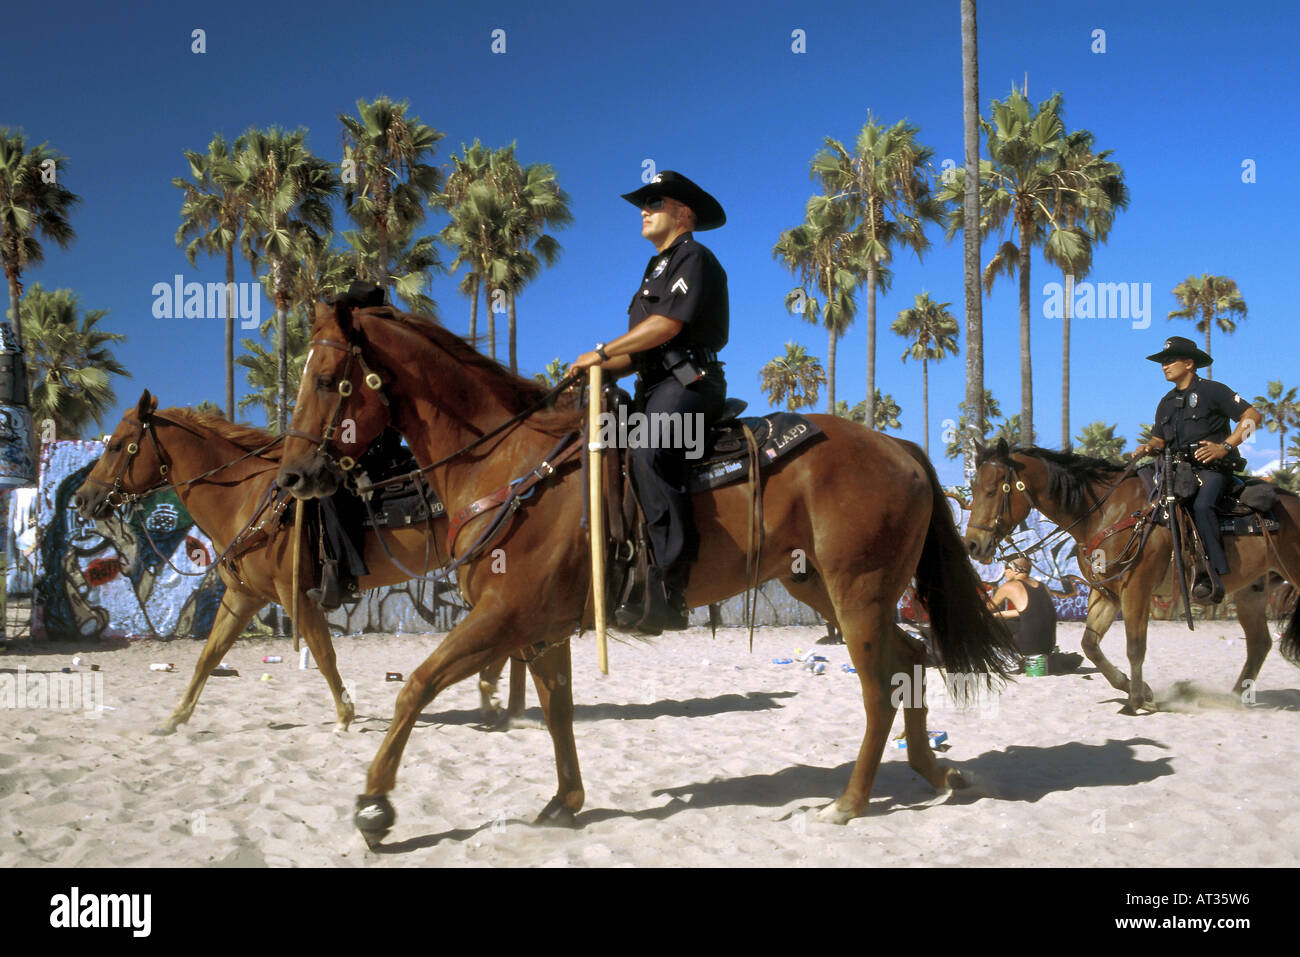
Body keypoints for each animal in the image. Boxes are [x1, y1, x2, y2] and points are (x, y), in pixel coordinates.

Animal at [69, 390, 522, 733]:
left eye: (116, 445)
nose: (82, 499)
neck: (246, 499)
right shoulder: (242, 597)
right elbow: (208, 657)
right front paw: (175, 718)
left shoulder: (296, 595)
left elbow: (323, 654)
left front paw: (344, 715)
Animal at [274, 300, 1008, 842]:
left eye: (325, 378)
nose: (291, 477)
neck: (512, 464)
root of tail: (900, 446)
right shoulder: (539, 628)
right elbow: (557, 709)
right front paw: (565, 800)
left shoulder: (503, 617)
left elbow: (417, 686)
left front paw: (374, 805)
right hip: (826, 589)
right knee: (910, 660)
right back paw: (936, 775)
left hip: (857, 594)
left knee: (879, 688)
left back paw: (851, 801)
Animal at [967, 439, 1300, 712]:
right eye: (972, 489)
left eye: (993, 490)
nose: (972, 544)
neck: (1106, 512)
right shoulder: (1106, 592)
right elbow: (1090, 645)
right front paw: (1139, 690)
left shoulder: (1136, 587)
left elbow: (1135, 646)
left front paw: (1136, 701)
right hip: (1251, 591)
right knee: (1259, 644)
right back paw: (1233, 699)